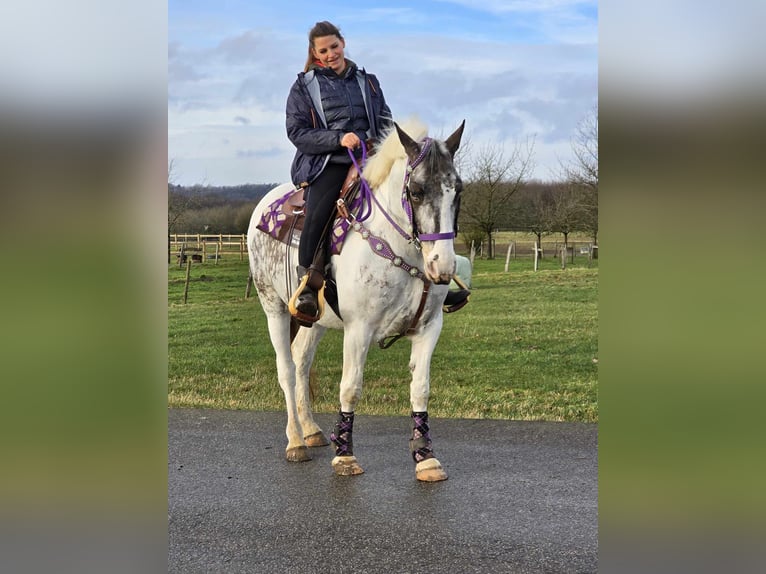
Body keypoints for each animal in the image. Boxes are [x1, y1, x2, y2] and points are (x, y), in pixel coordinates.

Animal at [246, 119, 464, 484]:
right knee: (287, 370)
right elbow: (350, 387)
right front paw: (345, 456)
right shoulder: (359, 329)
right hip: (272, 305)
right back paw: (296, 441)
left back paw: (311, 430)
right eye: (416, 191)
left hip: (314, 320)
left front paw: (426, 458)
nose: (442, 266)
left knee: (301, 360)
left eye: (457, 190)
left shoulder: (429, 328)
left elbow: (420, 388)